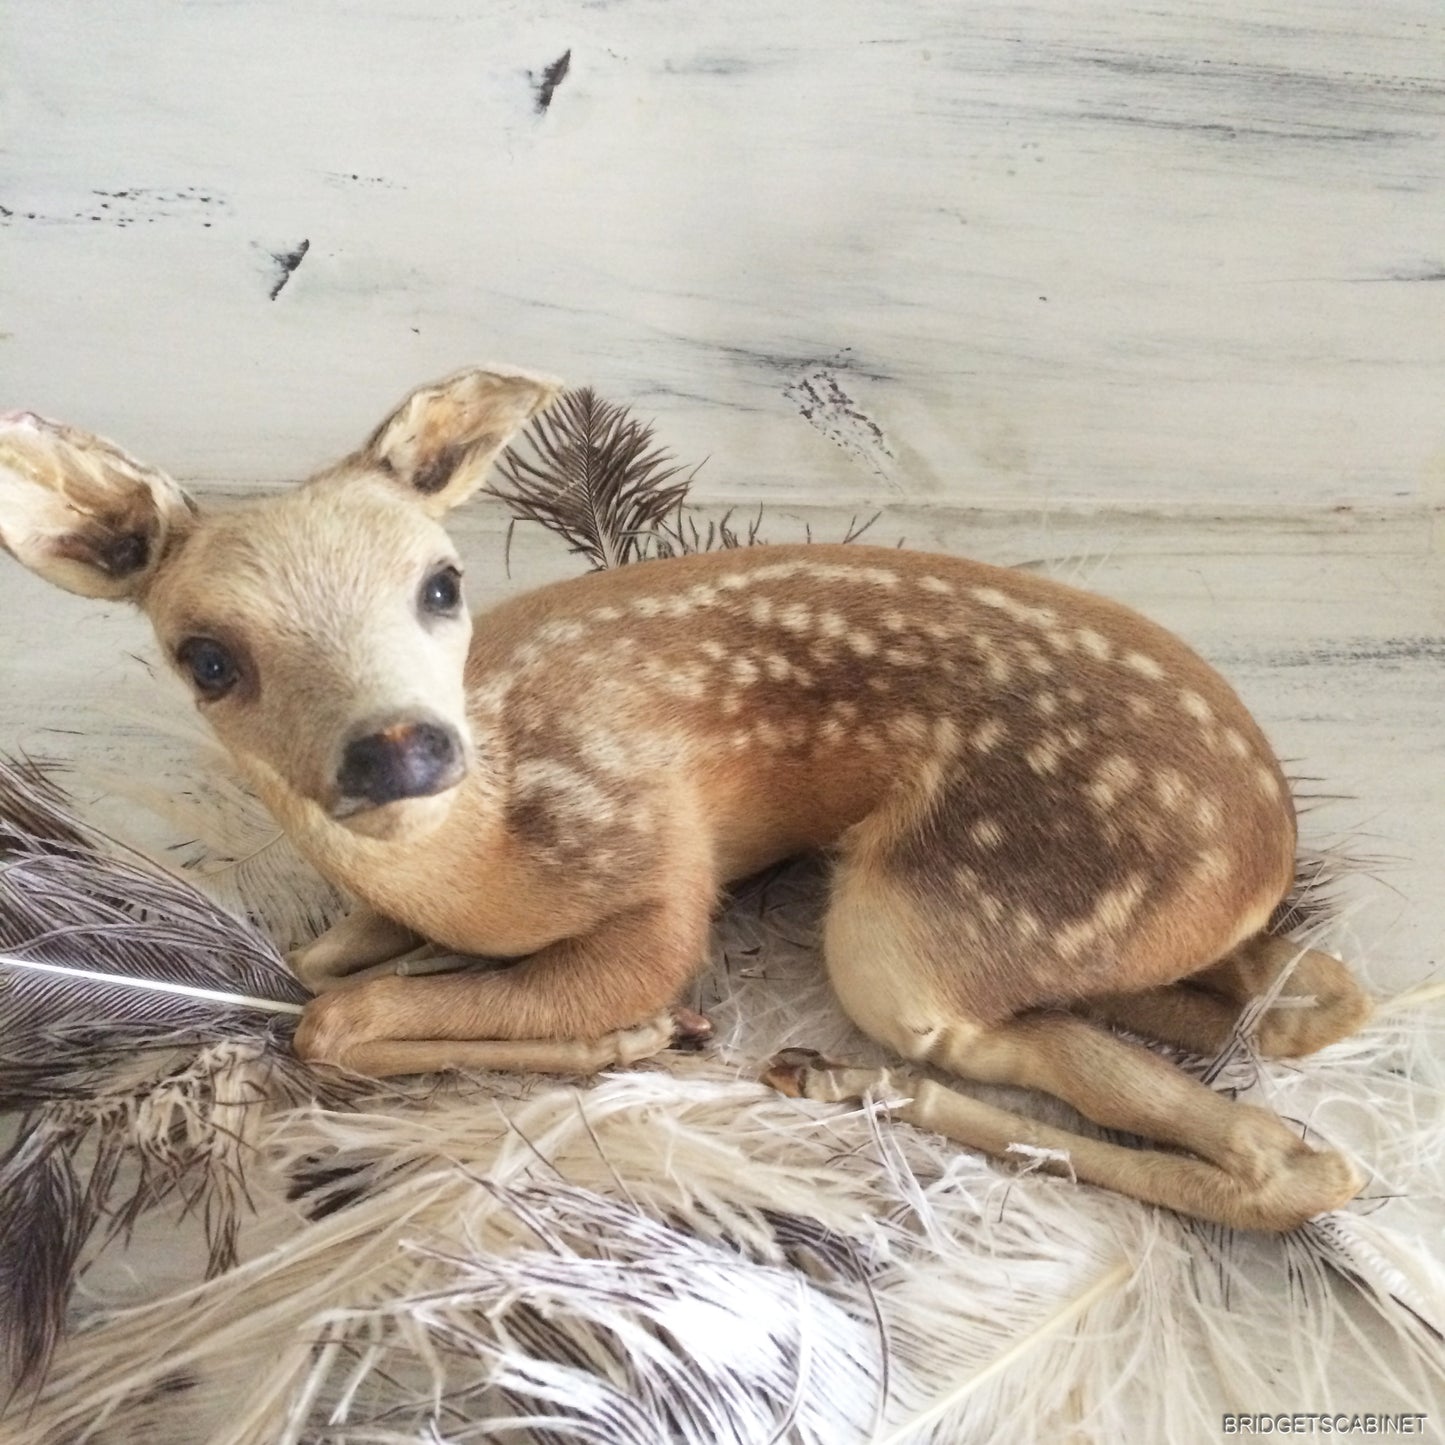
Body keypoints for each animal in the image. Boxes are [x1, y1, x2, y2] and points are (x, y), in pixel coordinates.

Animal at [0, 366, 1374, 1231]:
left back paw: (846, 1081)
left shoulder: (656, 861)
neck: (486, 855)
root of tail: (1261, 846)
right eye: (205, 656)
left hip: (930, 913)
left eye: (441, 583)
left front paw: (636, 1035)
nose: (398, 749)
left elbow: (342, 1016)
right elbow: (318, 974)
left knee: (1276, 1143)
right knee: (1290, 1009)